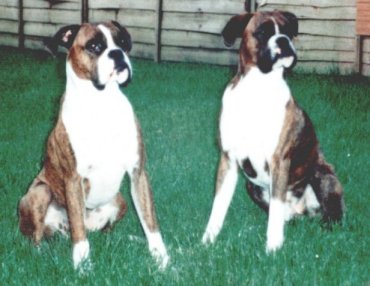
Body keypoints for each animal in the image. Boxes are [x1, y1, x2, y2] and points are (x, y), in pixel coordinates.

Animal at [18, 21, 169, 270]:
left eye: (123, 43)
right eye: (94, 46)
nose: (117, 54)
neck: (101, 104)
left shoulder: (138, 173)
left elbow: (151, 222)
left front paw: (162, 260)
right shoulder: (73, 179)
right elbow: (79, 230)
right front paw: (82, 265)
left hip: (120, 200)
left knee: (105, 231)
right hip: (39, 192)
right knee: (40, 235)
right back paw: (39, 254)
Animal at [202, 10, 344, 252]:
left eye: (287, 31)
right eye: (262, 32)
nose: (283, 41)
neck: (258, 88)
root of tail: (301, 210)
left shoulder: (279, 161)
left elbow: (276, 208)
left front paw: (273, 247)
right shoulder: (228, 160)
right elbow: (218, 204)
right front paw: (208, 240)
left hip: (323, 175)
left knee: (329, 213)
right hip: (251, 186)